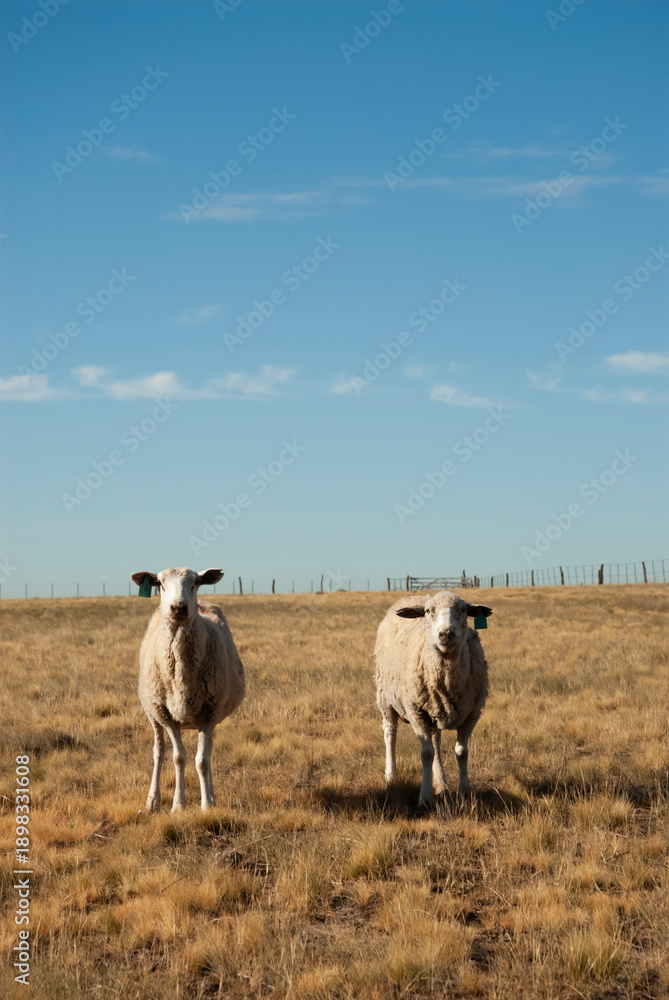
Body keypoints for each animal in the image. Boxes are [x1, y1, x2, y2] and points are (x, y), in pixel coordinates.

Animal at [130, 567, 245, 812]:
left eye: (195, 582)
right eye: (160, 584)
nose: (179, 607)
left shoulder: (210, 713)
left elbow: (202, 760)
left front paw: (207, 804)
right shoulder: (166, 715)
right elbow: (178, 758)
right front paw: (178, 805)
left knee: (207, 752)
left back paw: (211, 795)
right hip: (152, 713)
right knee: (159, 752)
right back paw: (152, 800)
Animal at [374, 590, 492, 809]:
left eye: (463, 610)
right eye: (429, 611)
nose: (446, 634)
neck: (447, 680)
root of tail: (412, 596)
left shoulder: (472, 713)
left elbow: (461, 752)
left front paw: (464, 793)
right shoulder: (416, 712)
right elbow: (426, 754)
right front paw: (425, 798)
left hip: (434, 710)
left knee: (436, 741)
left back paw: (442, 784)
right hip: (385, 696)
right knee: (390, 733)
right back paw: (391, 776)